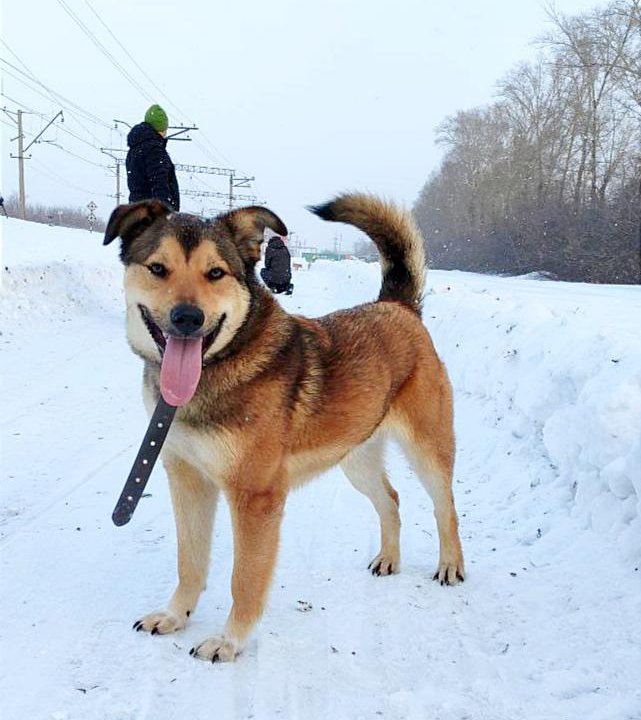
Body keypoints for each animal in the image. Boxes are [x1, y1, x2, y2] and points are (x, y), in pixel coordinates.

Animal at [106, 193, 464, 664]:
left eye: (215, 273)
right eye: (158, 268)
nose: (187, 318)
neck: (213, 371)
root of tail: (397, 306)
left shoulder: (256, 498)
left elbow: (244, 579)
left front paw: (230, 641)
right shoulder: (187, 479)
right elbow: (190, 560)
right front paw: (174, 615)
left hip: (427, 449)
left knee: (445, 507)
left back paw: (451, 565)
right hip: (356, 458)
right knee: (391, 499)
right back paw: (388, 558)